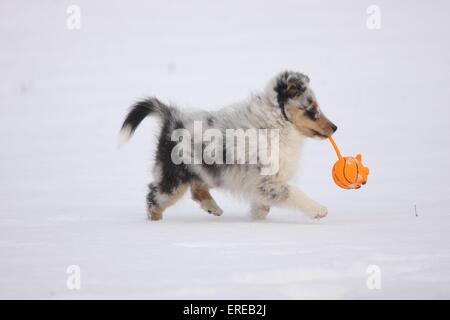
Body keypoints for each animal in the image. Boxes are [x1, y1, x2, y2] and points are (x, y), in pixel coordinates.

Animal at [119, 70, 338, 221]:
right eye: (312, 109)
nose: (335, 128)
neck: (274, 123)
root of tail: (171, 117)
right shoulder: (265, 180)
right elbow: (292, 192)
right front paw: (318, 210)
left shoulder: (262, 181)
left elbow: (264, 203)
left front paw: (257, 216)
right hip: (174, 177)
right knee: (154, 198)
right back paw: (156, 226)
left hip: (203, 169)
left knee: (196, 188)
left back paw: (212, 207)